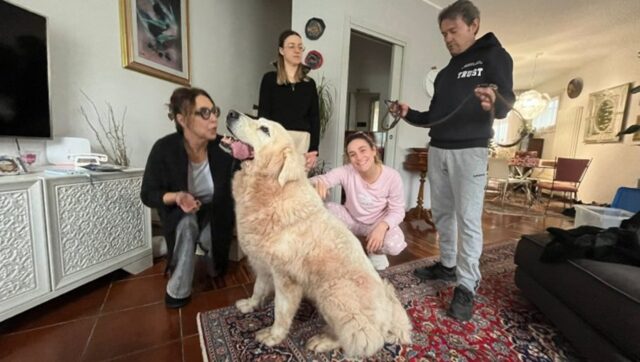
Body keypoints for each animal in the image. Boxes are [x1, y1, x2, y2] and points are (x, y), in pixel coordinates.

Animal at [225, 109, 412, 356]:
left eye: (264, 129)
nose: (231, 113)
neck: (272, 190)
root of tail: (389, 320)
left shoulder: (286, 279)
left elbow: (280, 313)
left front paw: (273, 337)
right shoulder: (263, 265)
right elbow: (258, 289)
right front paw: (250, 305)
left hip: (332, 293)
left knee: (364, 340)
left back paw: (323, 341)